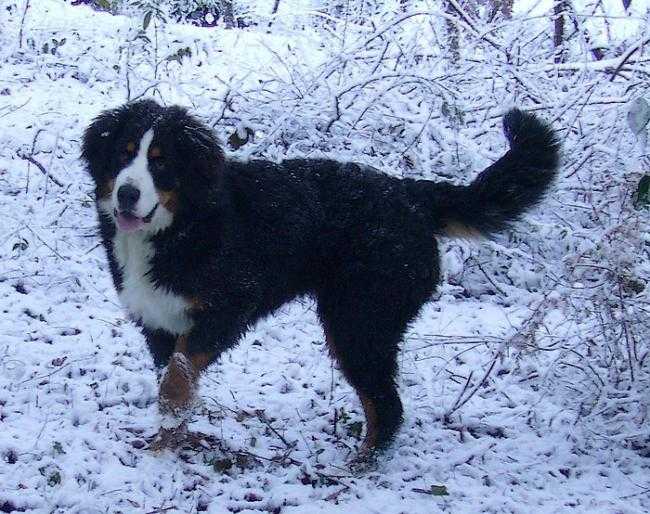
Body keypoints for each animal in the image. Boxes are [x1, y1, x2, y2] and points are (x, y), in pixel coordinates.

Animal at [81, 99, 559, 456]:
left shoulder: (228, 307)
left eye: (160, 164)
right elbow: (174, 386)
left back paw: (360, 466)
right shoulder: (158, 320)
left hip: (359, 321)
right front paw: (165, 446)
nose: (127, 193)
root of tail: (409, 193)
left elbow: (176, 380)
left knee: (386, 406)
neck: (181, 226)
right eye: (123, 154)